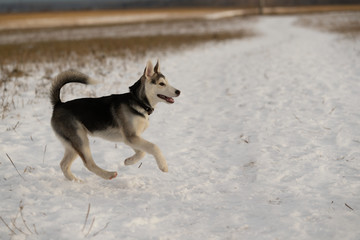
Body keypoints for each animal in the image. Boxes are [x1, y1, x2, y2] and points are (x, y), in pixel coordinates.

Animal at [49, 61, 181, 181]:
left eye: (167, 82)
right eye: (161, 84)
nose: (178, 91)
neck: (138, 102)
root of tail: (59, 104)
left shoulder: (131, 138)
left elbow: (141, 152)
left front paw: (129, 161)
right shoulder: (131, 136)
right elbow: (154, 147)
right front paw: (163, 166)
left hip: (72, 144)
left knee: (64, 164)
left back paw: (75, 181)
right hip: (80, 139)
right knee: (88, 164)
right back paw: (108, 175)